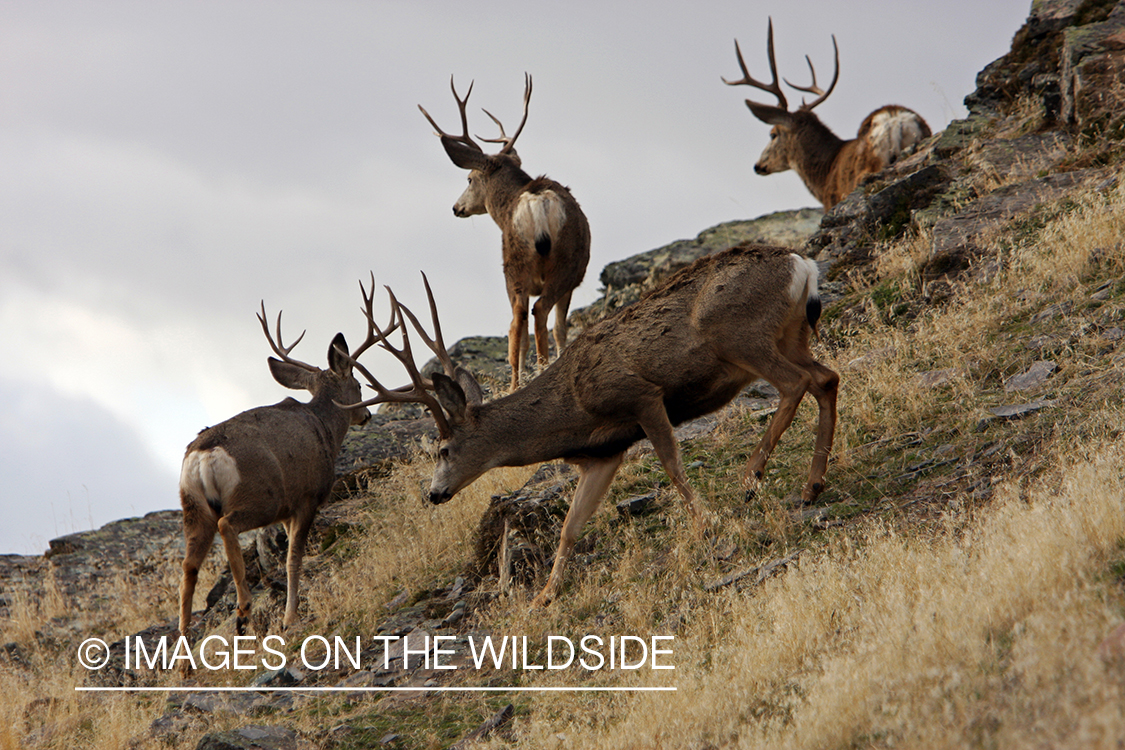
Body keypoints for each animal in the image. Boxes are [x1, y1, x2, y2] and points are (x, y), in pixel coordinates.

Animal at [177, 287, 394, 653]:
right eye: (360, 385)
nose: (366, 415)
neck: (325, 428)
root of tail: (204, 454)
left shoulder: (288, 511)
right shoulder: (304, 499)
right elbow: (294, 558)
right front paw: (290, 617)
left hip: (193, 506)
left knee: (189, 565)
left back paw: (183, 657)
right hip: (259, 494)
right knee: (227, 525)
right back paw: (243, 611)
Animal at [346, 244, 838, 607]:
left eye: (443, 449)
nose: (433, 494)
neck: (572, 407)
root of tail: (802, 264)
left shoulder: (639, 395)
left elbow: (673, 465)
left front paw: (706, 522)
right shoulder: (603, 453)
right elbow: (570, 525)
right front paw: (544, 596)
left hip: (740, 334)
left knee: (797, 383)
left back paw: (752, 477)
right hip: (791, 334)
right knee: (825, 378)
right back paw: (811, 485)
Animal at [419, 73, 590, 391]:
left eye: (469, 178)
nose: (456, 207)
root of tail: (536, 201)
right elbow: (558, 328)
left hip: (521, 263)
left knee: (522, 320)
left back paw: (522, 381)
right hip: (554, 263)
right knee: (533, 315)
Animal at [723, 19, 931, 211]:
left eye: (772, 134)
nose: (758, 165)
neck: (825, 174)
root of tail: (895, 119)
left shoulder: (832, 200)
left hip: (870, 168)